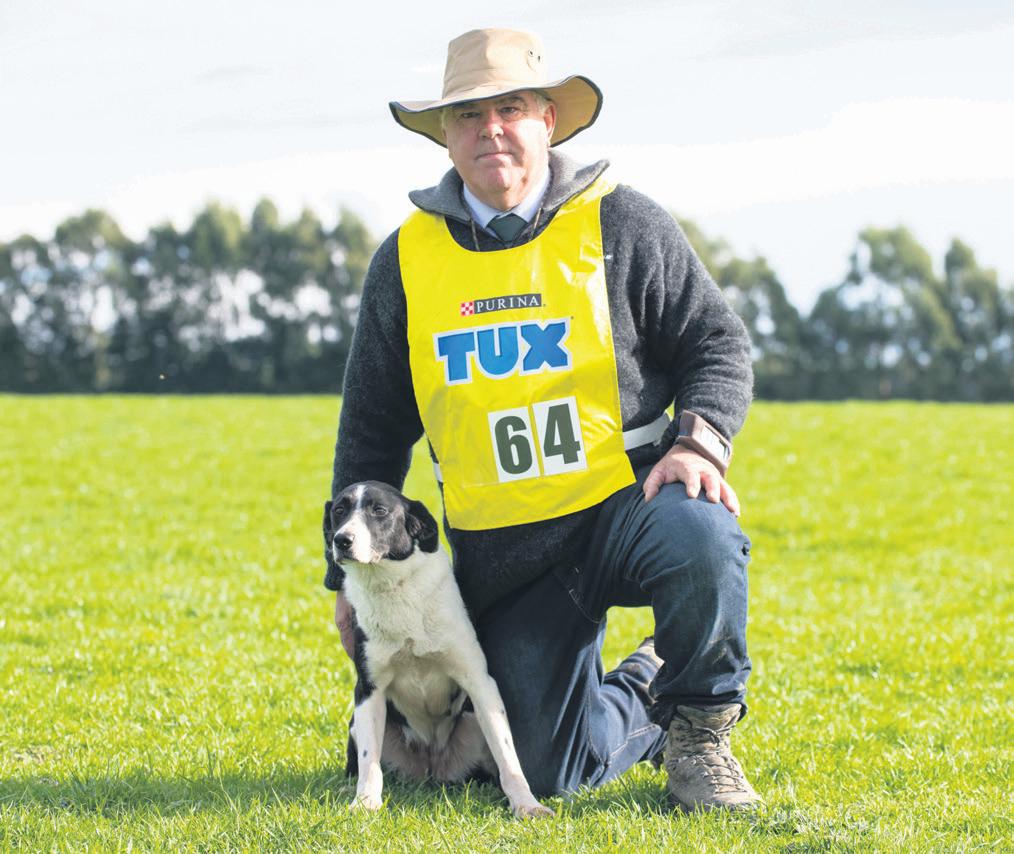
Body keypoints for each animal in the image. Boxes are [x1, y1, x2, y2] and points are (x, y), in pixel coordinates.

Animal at [325, 480, 552, 819]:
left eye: (379, 510)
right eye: (339, 510)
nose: (342, 540)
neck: (394, 587)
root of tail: (433, 771)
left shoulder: (480, 682)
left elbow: (508, 757)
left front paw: (527, 804)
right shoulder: (369, 690)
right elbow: (369, 762)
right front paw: (365, 802)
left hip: (474, 725)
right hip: (360, 723)